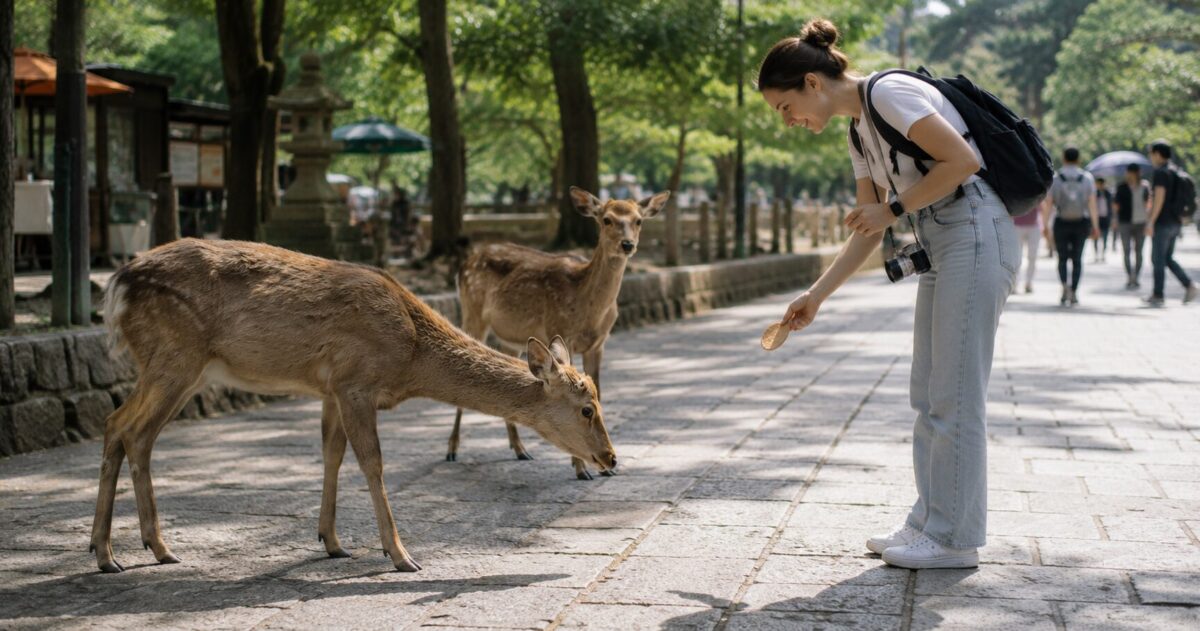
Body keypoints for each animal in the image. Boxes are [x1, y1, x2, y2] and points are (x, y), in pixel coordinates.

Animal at [90, 238, 616, 574]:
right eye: (587, 408)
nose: (611, 458)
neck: (411, 356)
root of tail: (115, 287)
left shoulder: (330, 389)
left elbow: (332, 455)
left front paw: (332, 543)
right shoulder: (356, 382)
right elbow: (373, 462)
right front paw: (401, 556)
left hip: (180, 366)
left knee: (120, 426)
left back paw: (127, 551)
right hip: (174, 355)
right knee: (130, 429)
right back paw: (133, 550)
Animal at [449, 186, 669, 479]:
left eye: (638, 220)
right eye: (607, 220)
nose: (627, 245)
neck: (590, 309)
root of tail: (464, 264)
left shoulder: (599, 343)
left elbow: (598, 390)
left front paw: (604, 470)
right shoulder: (561, 329)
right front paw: (581, 469)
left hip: (510, 336)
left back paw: (520, 449)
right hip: (472, 310)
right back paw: (452, 450)